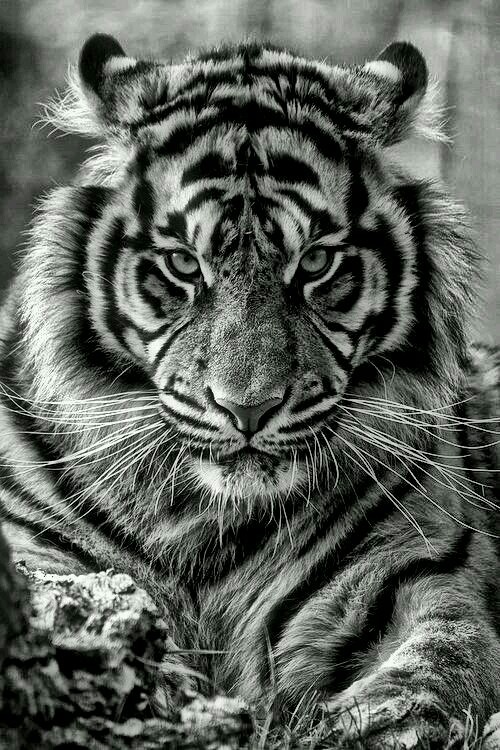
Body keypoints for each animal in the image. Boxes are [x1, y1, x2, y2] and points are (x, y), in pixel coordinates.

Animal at [0, 32, 499, 748]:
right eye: (182, 264)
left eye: (316, 262)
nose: (248, 408)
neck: (204, 523)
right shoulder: (39, 556)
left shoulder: (411, 576)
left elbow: (429, 673)